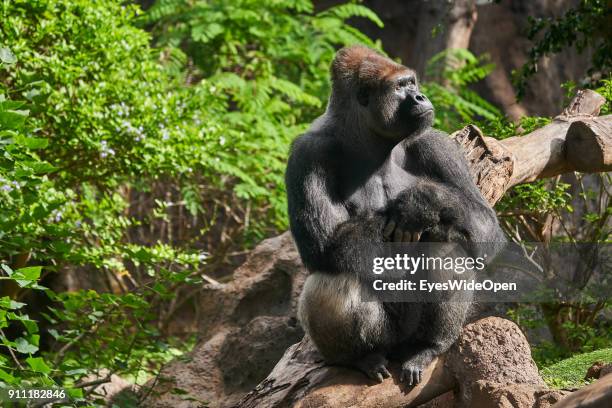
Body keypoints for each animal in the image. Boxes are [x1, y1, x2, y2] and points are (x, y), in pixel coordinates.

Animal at [284, 46, 504, 384]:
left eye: (412, 82)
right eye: (400, 87)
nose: (420, 97)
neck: (368, 140)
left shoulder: (436, 143)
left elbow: (485, 227)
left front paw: (424, 202)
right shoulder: (307, 153)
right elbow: (324, 244)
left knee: (446, 250)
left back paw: (429, 346)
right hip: (387, 336)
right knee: (333, 280)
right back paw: (361, 357)